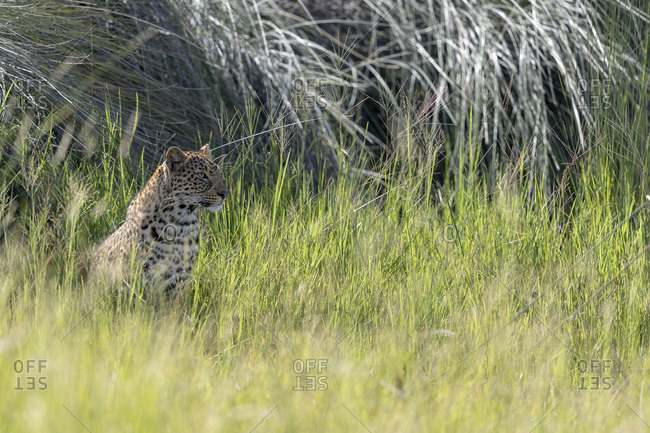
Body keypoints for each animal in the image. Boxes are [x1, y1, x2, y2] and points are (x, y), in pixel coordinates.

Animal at [94, 144, 228, 299]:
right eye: (202, 175)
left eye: (220, 174)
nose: (225, 193)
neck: (182, 222)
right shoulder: (137, 278)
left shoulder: (178, 279)